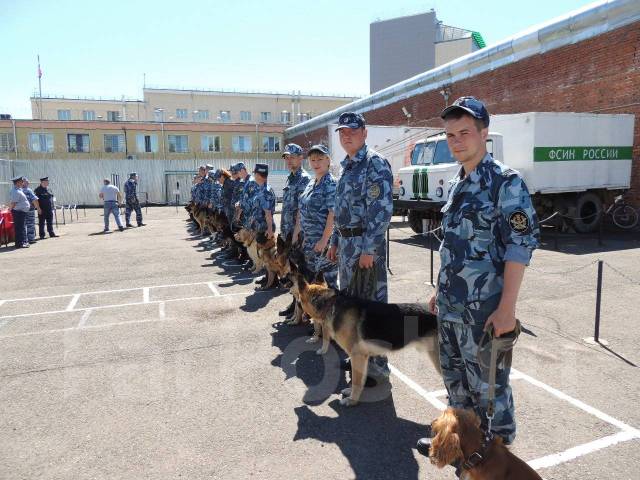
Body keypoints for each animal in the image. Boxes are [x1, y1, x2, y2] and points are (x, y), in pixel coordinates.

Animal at [286, 249, 440, 406]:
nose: (295, 304)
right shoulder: (362, 358)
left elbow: (356, 380)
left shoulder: (357, 356)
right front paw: (351, 393)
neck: (331, 305)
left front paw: (352, 400)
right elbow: (359, 379)